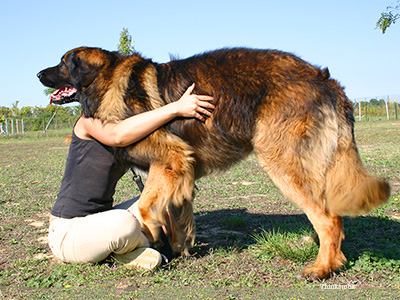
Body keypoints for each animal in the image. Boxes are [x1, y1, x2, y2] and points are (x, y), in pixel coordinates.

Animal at [36, 46, 390, 278]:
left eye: (63, 63)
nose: (38, 72)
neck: (109, 82)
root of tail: (323, 78)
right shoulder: (178, 169)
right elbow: (176, 215)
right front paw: (177, 249)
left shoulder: (170, 159)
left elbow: (147, 209)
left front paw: (153, 236)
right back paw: (330, 259)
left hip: (281, 162)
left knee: (328, 218)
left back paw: (322, 268)